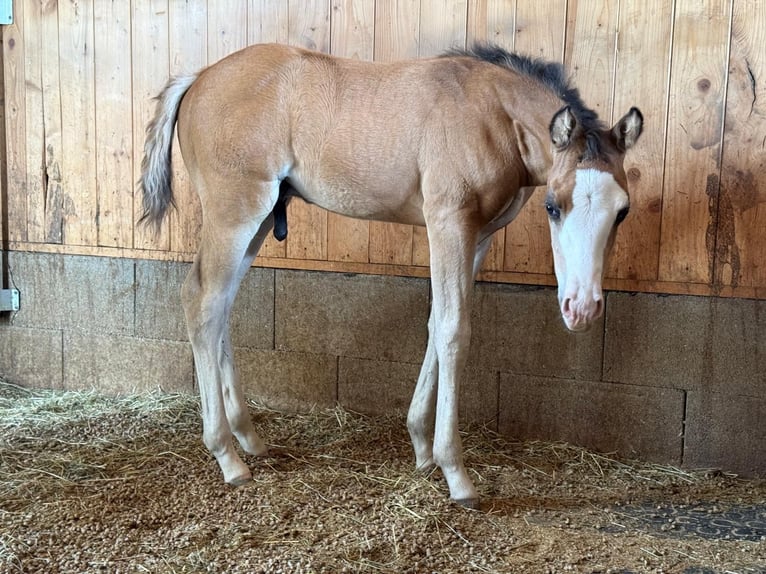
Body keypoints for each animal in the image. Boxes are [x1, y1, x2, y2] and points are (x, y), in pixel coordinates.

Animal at [139, 43, 643, 508]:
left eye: (623, 211)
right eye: (553, 206)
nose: (582, 308)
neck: (492, 114)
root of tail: (200, 76)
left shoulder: (477, 236)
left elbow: (437, 322)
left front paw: (421, 448)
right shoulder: (448, 222)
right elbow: (454, 330)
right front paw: (455, 472)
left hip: (259, 220)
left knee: (221, 305)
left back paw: (249, 439)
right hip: (236, 213)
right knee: (202, 302)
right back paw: (227, 457)